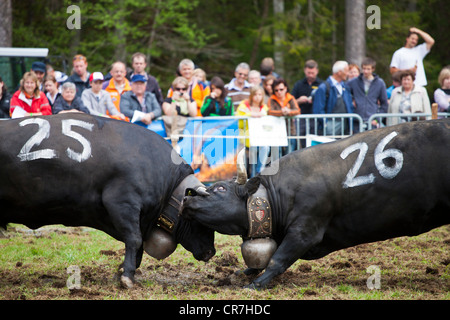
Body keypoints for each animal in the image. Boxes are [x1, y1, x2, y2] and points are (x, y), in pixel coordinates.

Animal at [0, 114, 215, 288]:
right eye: (199, 220)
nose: (211, 252)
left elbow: (138, 245)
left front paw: (123, 271)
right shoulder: (123, 203)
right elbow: (134, 239)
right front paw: (127, 276)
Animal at [181, 119, 448, 288]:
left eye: (220, 188)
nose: (188, 196)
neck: (276, 195)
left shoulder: (305, 231)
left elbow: (277, 259)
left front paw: (254, 284)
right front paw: (243, 273)